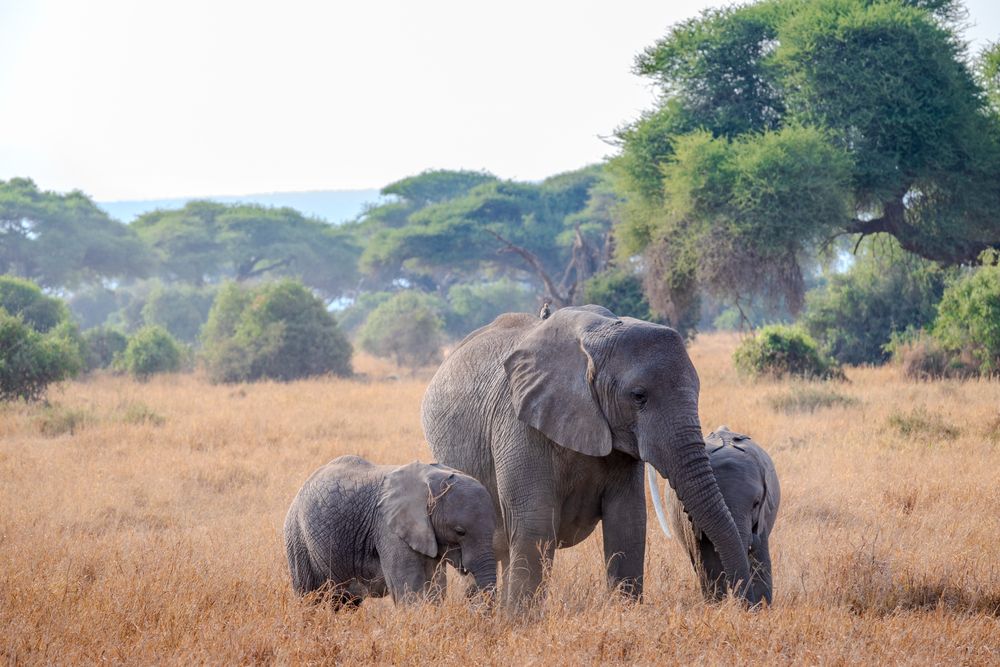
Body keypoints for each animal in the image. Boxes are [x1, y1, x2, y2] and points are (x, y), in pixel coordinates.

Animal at [283, 456, 497, 607]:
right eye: (460, 532)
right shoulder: (387, 528)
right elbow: (410, 589)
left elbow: (435, 588)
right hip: (298, 538)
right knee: (310, 597)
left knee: (345, 602)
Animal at [421, 305, 758, 609]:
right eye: (639, 396)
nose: (748, 605)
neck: (595, 337)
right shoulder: (518, 423)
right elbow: (534, 525)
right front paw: (519, 623)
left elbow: (628, 522)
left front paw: (625, 615)